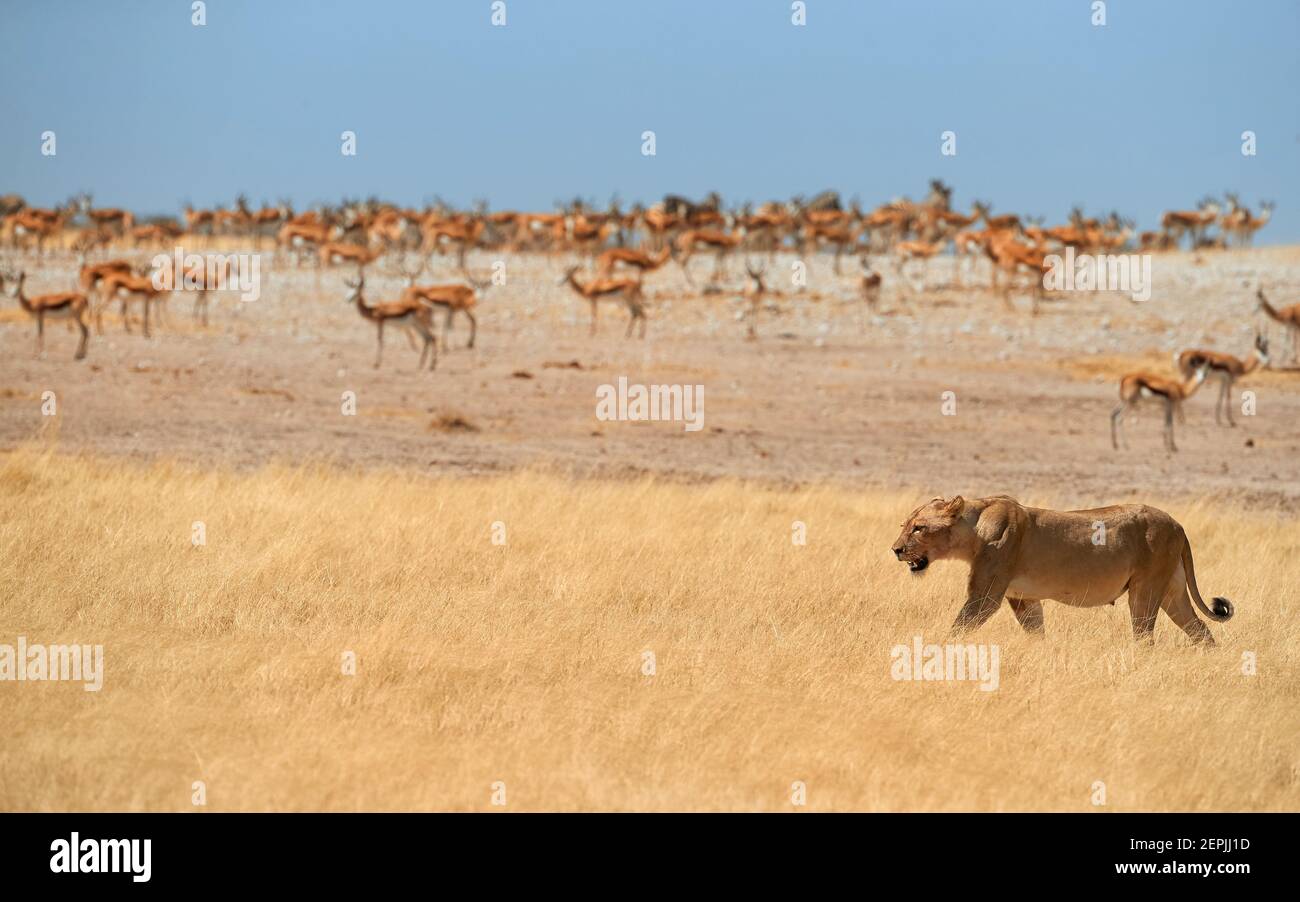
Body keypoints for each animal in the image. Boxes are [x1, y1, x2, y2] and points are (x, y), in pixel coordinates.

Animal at [890, 496, 1234, 645]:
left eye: (919, 528)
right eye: (905, 525)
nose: (895, 550)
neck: (974, 529)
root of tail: (1177, 524)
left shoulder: (986, 595)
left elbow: (959, 627)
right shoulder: (1022, 598)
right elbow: (1036, 632)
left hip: (1145, 591)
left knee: (1144, 636)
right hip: (1172, 592)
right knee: (1201, 631)